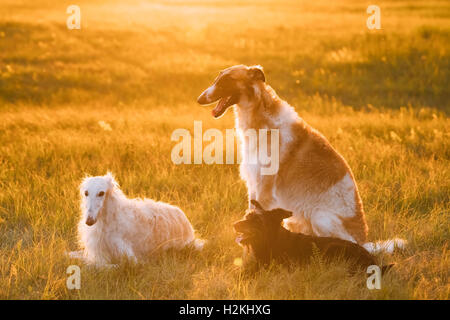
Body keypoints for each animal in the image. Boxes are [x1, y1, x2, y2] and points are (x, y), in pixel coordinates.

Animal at [69, 172, 204, 264]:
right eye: (86, 193)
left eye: (101, 193)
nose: (89, 221)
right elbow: (70, 253)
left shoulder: (129, 258)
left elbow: (100, 265)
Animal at [199, 64, 406, 252]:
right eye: (217, 77)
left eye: (227, 80)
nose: (199, 98)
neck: (261, 116)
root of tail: (364, 242)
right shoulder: (253, 185)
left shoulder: (265, 189)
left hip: (320, 216)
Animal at [234, 200, 392, 272]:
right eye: (246, 216)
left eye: (257, 220)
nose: (235, 225)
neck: (271, 240)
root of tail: (373, 262)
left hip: (333, 249)